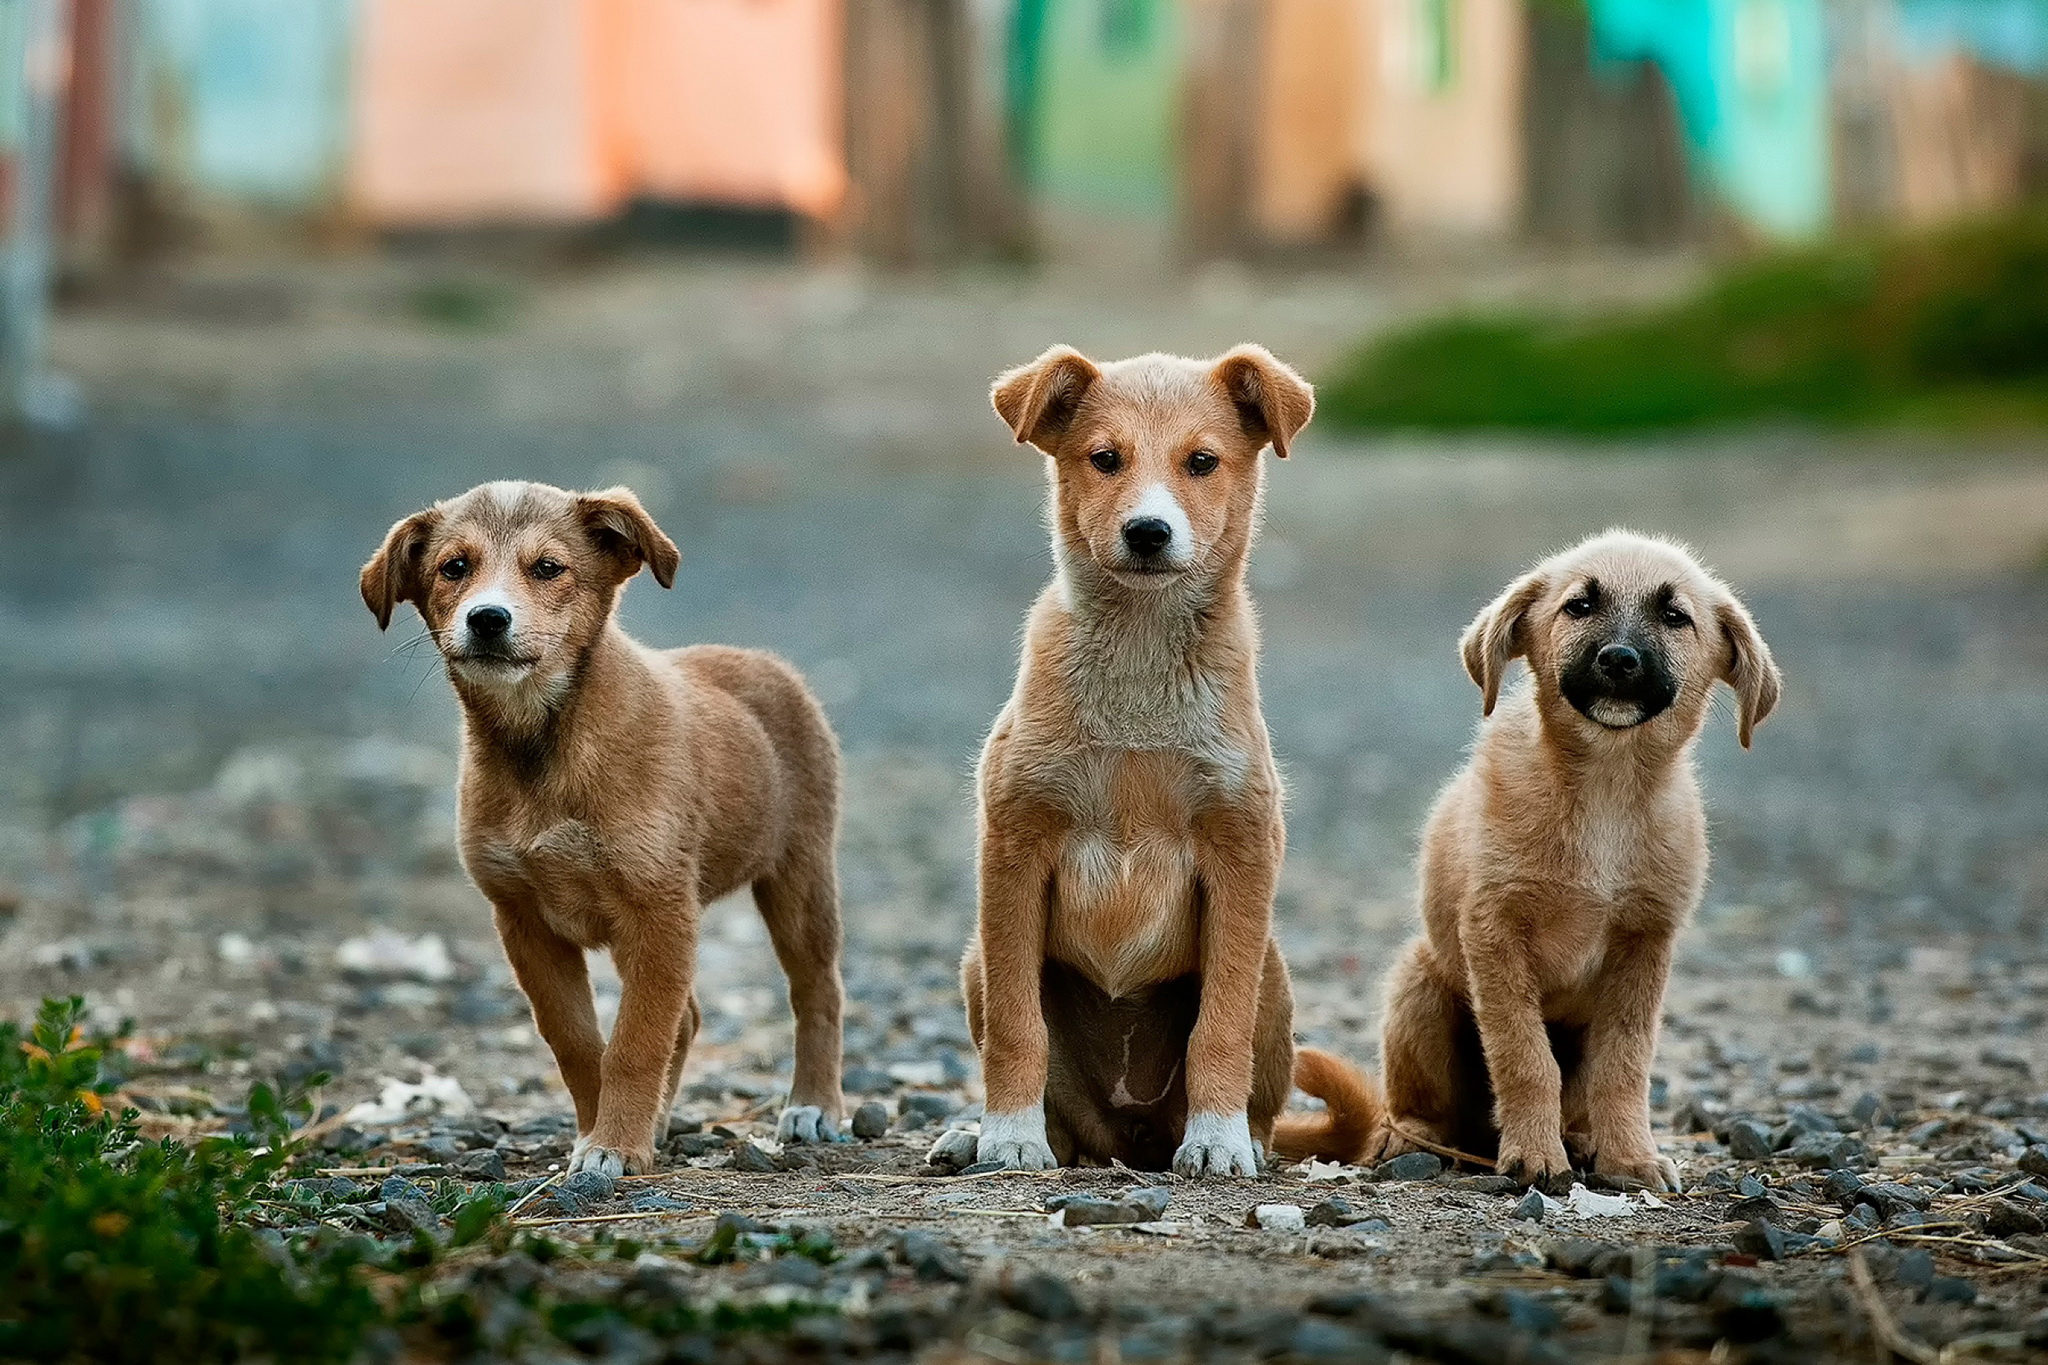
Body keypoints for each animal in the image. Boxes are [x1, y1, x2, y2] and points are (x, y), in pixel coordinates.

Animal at [362, 485, 847, 1178]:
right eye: (454, 567)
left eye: (548, 568)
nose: (488, 619)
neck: (542, 746)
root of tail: (764, 661)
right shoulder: (524, 920)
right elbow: (578, 1042)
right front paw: (601, 1133)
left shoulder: (658, 910)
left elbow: (635, 1042)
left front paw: (615, 1144)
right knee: (688, 1017)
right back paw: (662, 1122)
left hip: (799, 877)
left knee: (817, 991)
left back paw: (813, 1105)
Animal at [954, 341, 1376, 1178]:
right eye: (1104, 458)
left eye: (1202, 461)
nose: (1148, 531)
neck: (1141, 664)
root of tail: (1131, 1139)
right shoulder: (1013, 845)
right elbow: (1019, 1027)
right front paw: (1008, 1134)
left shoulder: (1241, 850)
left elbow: (1220, 1025)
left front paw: (1217, 1140)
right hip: (975, 960)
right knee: (1063, 1113)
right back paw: (978, 1135)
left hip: (1273, 971)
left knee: (1257, 1087)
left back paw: (1241, 1136)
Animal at [1368, 527, 1785, 1186]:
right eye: (1579, 606)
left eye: (1675, 616)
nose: (1618, 659)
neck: (1605, 790)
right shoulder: (1494, 931)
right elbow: (1524, 1056)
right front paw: (1535, 1155)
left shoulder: (1644, 944)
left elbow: (1624, 1065)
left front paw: (1631, 1158)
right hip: (1420, 986)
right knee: (1423, 1104)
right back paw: (1412, 1137)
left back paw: (1585, 1140)